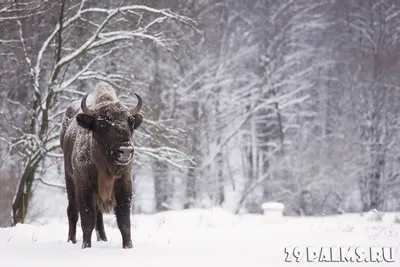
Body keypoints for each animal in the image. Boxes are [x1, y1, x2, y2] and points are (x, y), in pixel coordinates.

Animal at [60, 82, 143, 250]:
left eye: (130, 120)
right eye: (104, 122)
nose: (126, 150)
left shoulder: (124, 185)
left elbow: (124, 221)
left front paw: (128, 247)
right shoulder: (84, 186)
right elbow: (87, 220)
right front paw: (86, 247)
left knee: (98, 214)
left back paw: (103, 239)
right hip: (69, 180)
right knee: (72, 211)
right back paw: (71, 240)